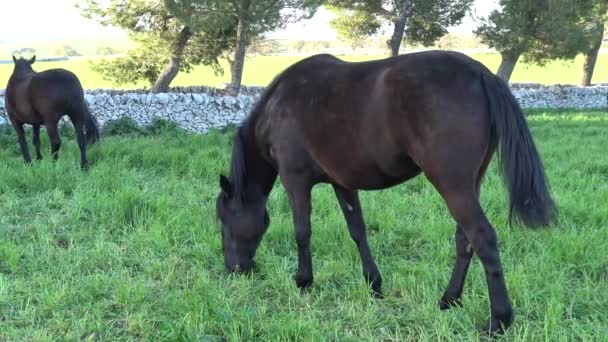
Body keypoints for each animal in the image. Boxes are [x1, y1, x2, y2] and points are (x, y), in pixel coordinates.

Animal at [216, 50, 560, 334]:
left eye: (222, 219)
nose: (234, 269)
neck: (278, 106)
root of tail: (479, 72)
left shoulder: (295, 179)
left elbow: (302, 231)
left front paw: (303, 281)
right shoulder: (343, 183)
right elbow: (358, 231)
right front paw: (374, 284)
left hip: (452, 185)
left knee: (483, 238)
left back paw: (499, 320)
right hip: (469, 184)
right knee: (465, 239)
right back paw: (449, 300)